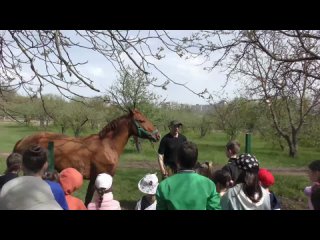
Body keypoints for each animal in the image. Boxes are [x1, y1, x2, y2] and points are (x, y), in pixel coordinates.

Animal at [13, 109, 160, 204]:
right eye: (141, 120)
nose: (157, 135)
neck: (107, 146)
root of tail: (22, 140)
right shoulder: (96, 177)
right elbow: (89, 199)